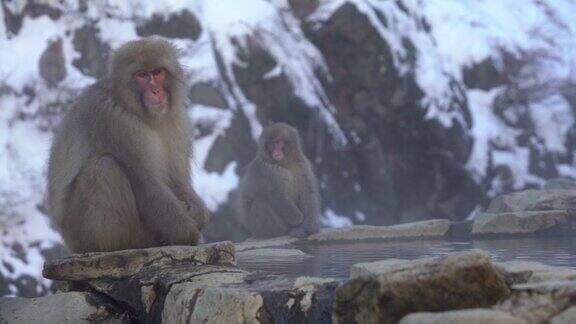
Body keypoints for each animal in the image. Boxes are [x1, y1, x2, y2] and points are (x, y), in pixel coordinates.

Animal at [47, 36, 209, 252]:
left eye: (158, 72)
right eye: (142, 75)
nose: (155, 91)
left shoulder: (177, 123)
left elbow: (177, 180)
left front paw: (197, 213)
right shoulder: (116, 122)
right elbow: (146, 184)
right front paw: (188, 233)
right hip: (80, 233)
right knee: (104, 168)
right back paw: (126, 243)